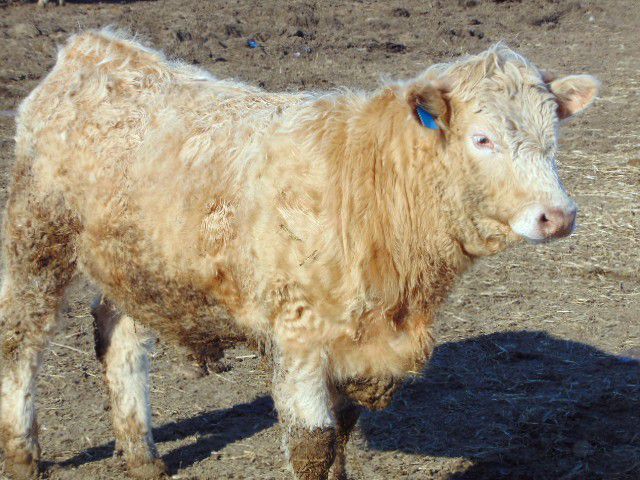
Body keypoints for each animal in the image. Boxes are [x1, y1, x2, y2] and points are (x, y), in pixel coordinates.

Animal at [0, 29, 598, 480]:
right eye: (482, 139)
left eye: (553, 135)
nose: (558, 215)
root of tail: (95, 47)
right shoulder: (299, 333)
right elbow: (314, 444)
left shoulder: (356, 346)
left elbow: (342, 436)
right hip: (37, 236)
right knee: (20, 340)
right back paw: (23, 456)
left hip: (137, 265)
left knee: (119, 339)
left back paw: (143, 458)